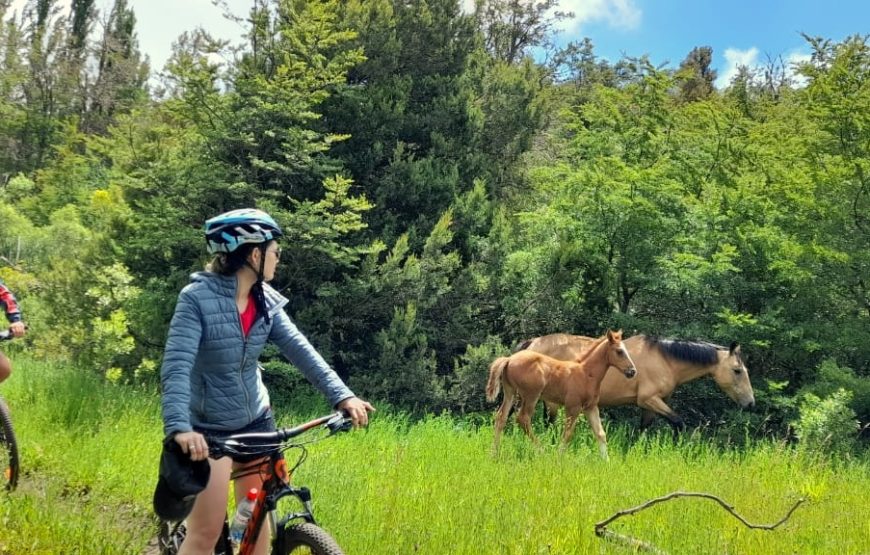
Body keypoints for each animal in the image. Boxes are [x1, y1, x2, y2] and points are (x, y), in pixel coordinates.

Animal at [488, 332, 636, 458]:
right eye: (619, 351)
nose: (632, 371)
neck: (586, 373)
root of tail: (509, 359)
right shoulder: (573, 406)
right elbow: (568, 434)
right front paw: (559, 456)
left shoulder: (591, 407)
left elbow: (600, 433)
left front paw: (606, 461)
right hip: (531, 396)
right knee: (523, 418)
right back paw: (542, 451)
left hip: (510, 392)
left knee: (501, 417)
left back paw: (494, 454)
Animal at [516, 334, 756, 430]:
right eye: (737, 371)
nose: (751, 403)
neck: (664, 359)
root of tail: (533, 343)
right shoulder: (649, 400)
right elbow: (678, 422)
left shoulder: (650, 406)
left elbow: (642, 431)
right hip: (550, 402)